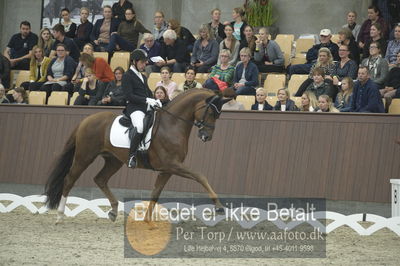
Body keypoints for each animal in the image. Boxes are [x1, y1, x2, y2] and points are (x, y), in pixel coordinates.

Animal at [43, 88, 230, 223]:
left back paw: (113, 211)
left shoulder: (167, 169)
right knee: (69, 179)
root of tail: (85, 120)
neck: (172, 124)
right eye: (211, 113)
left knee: (100, 179)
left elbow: (156, 193)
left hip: (113, 160)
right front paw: (219, 207)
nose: (206, 137)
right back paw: (60, 216)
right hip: (85, 156)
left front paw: (147, 220)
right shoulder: (172, 165)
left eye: (219, 115)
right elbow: (200, 176)